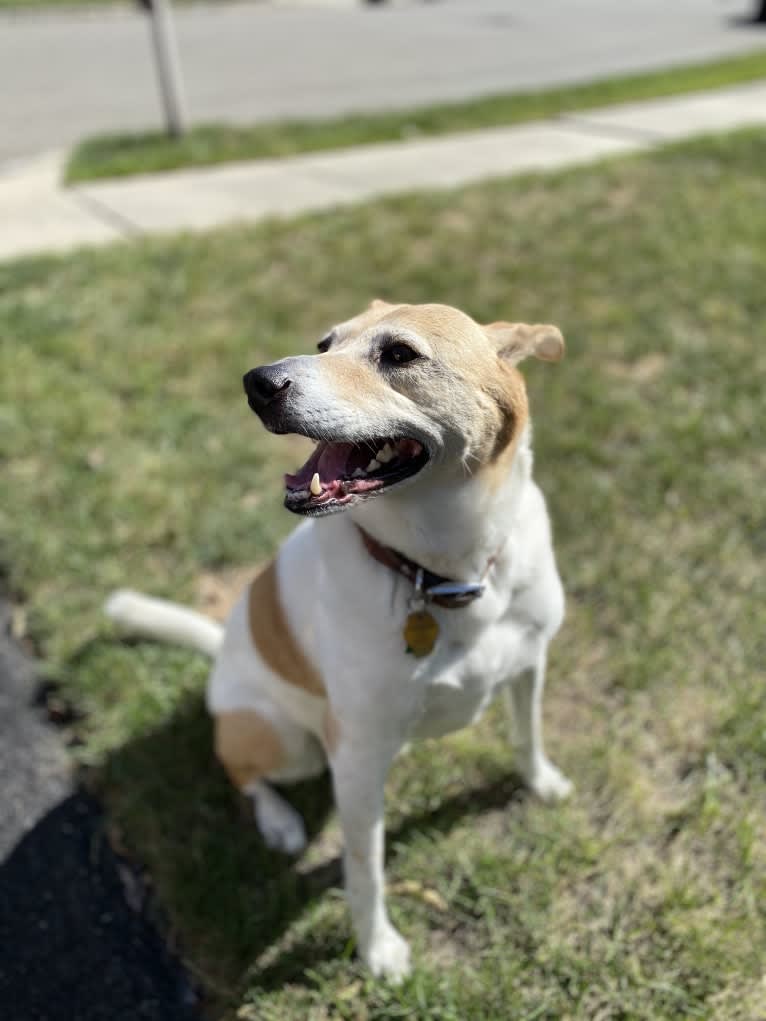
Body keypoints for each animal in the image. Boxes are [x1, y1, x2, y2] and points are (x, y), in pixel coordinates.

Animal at [109, 300, 576, 980]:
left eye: (400, 354)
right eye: (324, 343)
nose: (258, 383)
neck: (446, 574)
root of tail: (222, 655)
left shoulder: (529, 665)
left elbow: (529, 734)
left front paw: (541, 783)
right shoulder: (353, 759)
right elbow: (365, 869)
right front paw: (378, 950)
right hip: (287, 739)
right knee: (238, 768)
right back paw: (278, 821)